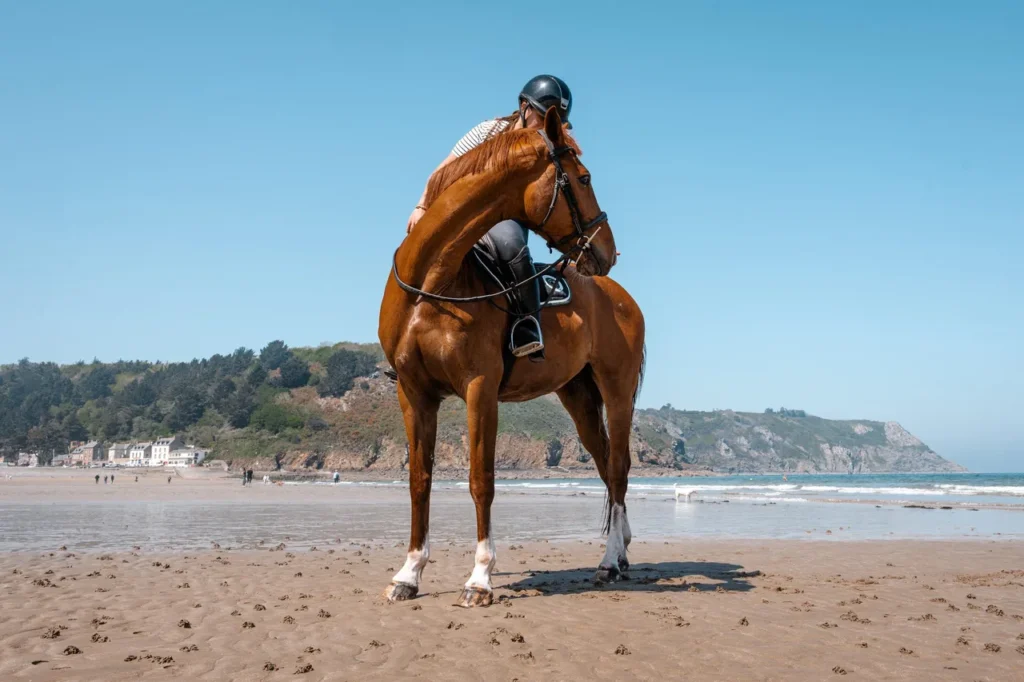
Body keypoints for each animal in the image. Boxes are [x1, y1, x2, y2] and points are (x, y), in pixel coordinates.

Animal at [379, 107, 646, 607]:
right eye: (583, 178)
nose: (607, 249)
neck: (433, 283)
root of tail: (621, 297)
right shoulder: (414, 393)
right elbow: (419, 481)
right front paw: (409, 573)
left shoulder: (479, 388)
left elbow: (481, 480)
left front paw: (480, 578)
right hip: (579, 398)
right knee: (605, 467)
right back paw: (618, 554)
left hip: (617, 395)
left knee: (619, 471)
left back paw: (608, 562)